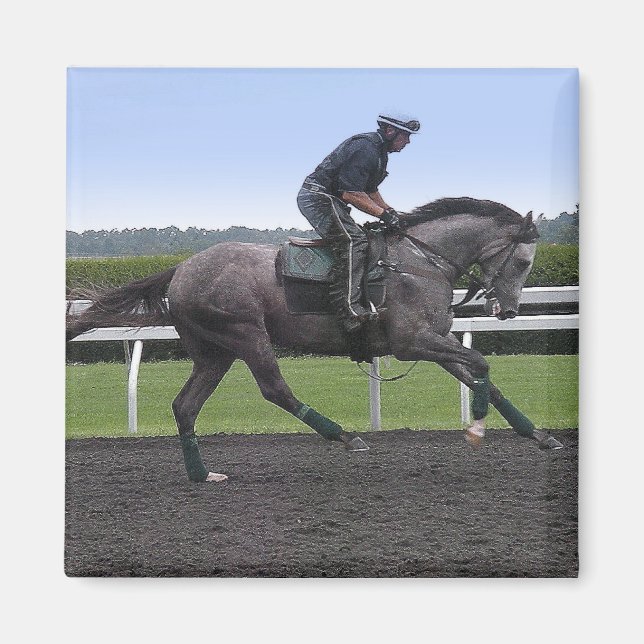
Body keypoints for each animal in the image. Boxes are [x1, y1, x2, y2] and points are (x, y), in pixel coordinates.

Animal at [66, 197, 563, 483]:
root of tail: (181, 269)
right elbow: (482, 368)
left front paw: (540, 435)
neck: (422, 260)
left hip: (214, 352)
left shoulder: (433, 340)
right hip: (245, 333)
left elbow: (482, 377)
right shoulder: (412, 341)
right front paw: (476, 428)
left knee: (185, 405)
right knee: (275, 389)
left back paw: (203, 474)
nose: (509, 310)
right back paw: (344, 436)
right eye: (524, 261)